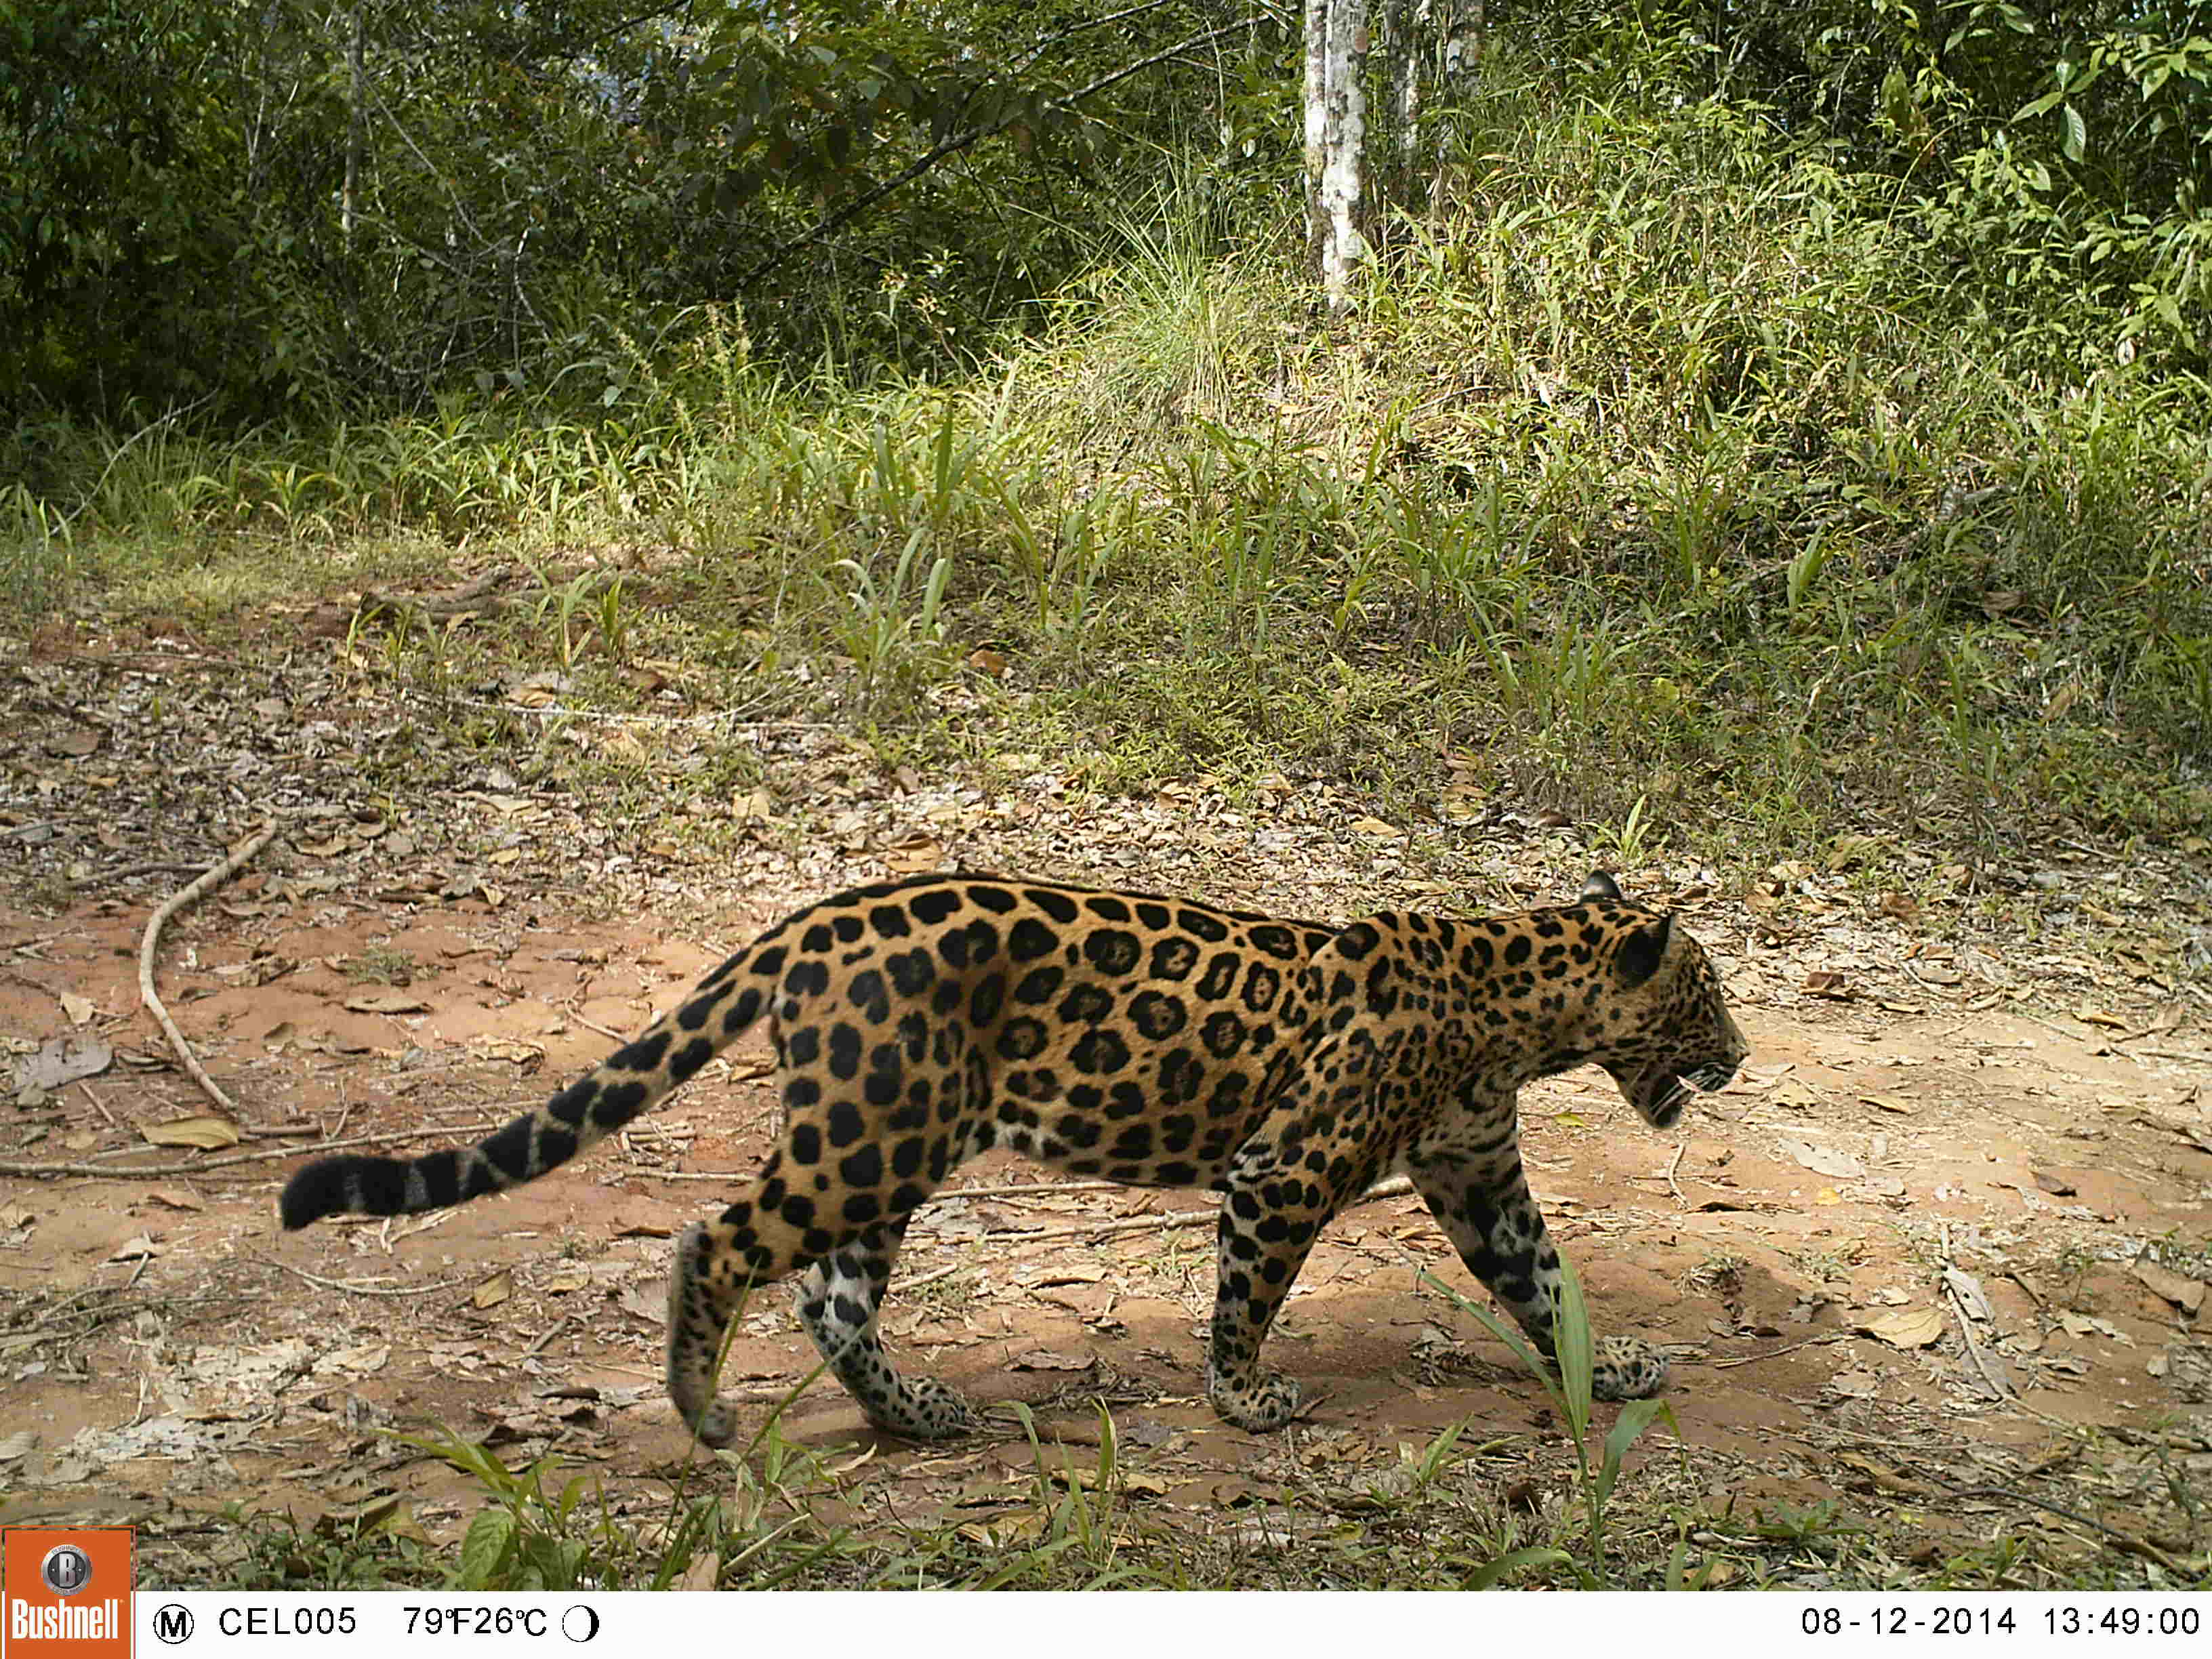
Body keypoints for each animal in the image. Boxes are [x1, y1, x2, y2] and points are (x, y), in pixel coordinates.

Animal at [281, 869, 1747, 1445]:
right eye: (1704, 996)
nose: (1738, 1053)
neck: (1520, 1010)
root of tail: (808, 923)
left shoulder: (1480, 1179)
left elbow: (1545, 1282)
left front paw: (1608, 1368)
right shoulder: (1282, 1169)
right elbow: (1248, 1298)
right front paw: (1244, 1398)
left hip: (886, 1145)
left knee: (831, 1296)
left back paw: (917, 1414)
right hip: (865, 1140)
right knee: (725, 1239)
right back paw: (700, 1409)